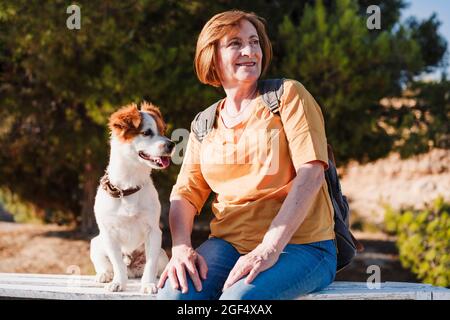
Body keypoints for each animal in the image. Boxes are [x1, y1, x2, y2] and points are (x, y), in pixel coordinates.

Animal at [89, 102, 172, 292]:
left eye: (163, 130)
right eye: (147, 133)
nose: (172, 145)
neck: (129, 187)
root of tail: (133, 270)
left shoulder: (154, 232)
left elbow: (150, 264)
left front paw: (148, 283)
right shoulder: (109, 234)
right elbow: (117, 264)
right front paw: (118, 282)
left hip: (162, 254)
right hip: (96, 243)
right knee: (105, 264)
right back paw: (104, 275)